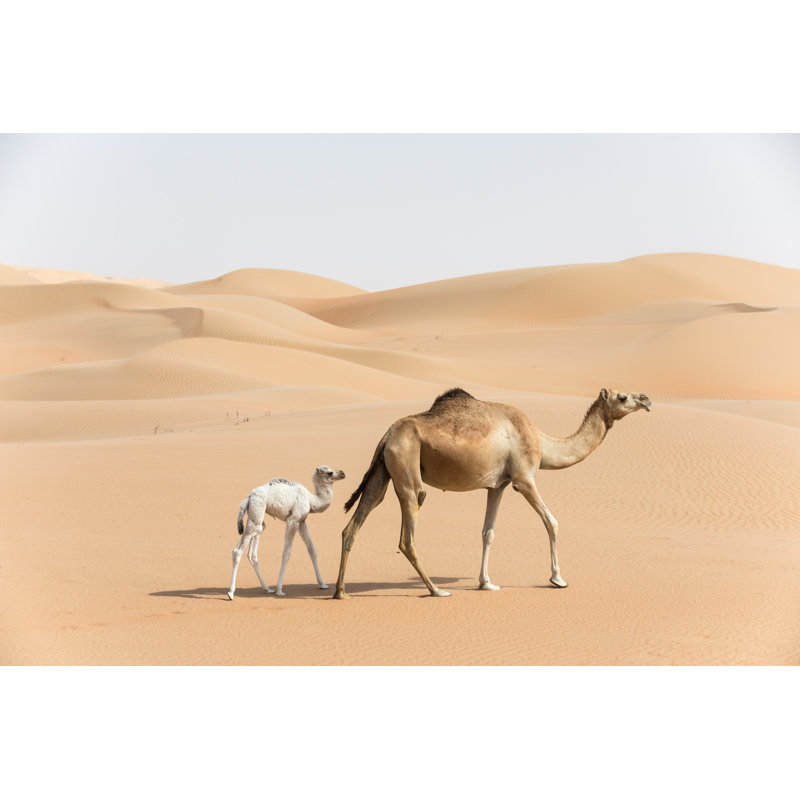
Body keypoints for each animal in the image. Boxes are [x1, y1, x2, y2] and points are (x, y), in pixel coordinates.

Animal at [228, 465, 345, 599]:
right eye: (330, 472)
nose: (343, 473)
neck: (311, 500)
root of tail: (249, 497)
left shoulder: (302, 521)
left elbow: (312, 549)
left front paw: (323, 584)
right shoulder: (293, 520)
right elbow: (286, 553)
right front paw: (279, 590)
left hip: (257, 517)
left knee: (253, 551)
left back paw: (267, 588)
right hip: (257, 508)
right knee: (237, 550)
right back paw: (231, 593)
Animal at [332, 388, 650, 599]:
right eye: (622, 397)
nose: (646, 399)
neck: (540, 442)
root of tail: (387, 435)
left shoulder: (498, 485)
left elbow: (488, 532)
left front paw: (486, 583)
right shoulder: (524, 479)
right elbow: (552, 521)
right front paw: (558, 579)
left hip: (382, 472)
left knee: (354, 524)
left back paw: (340, 591)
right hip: (408, 470)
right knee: (407, 535)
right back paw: (437, 590)